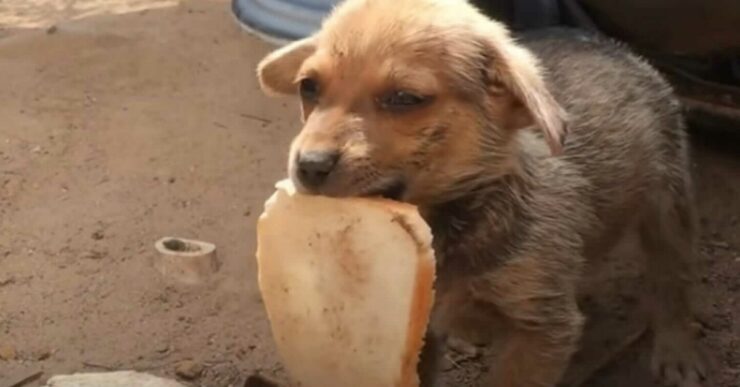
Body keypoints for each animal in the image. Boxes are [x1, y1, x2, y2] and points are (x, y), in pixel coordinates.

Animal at [258, 0, 708, 386]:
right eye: (308, 88)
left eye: (404, 98)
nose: (309, 166)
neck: (453, 217)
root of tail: (605, 44)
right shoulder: (418, 328)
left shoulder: (542, 329)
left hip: (668, 205)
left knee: (671, 282)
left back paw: (676, 351)